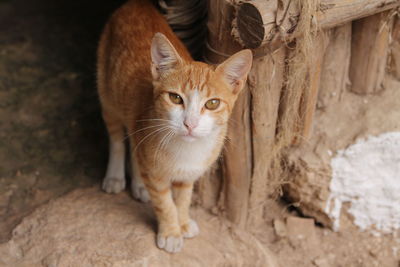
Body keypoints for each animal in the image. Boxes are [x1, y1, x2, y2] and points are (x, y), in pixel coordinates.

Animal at [97, 0, 252, 255]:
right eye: (175, 98)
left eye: (212, 103)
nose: (190, 123)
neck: (188, 150)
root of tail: (137, 3)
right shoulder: (156, 175)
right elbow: (165, 202)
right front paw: (171, 231)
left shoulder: (188, 174)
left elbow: (183, 198)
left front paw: (183, 221)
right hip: (108, 96)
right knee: (117, 138)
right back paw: (116, 176)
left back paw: (139, 184)